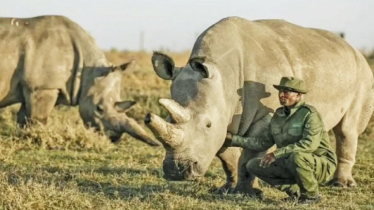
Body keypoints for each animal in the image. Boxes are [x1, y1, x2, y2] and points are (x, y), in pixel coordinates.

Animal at [0, 15, 159, 146]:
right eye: (99, 108)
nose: (114, 137)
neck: (87, 70)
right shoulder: (44, 86)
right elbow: (38, 117)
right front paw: (35, 138)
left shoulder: (34, 86)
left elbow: (24, 116)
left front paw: (23, 137)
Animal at [145, 16, 374, 194]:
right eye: (165, 118)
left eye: (207, 124)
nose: (176, 172)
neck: (223, 75)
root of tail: (353, 49)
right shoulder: (223, 116)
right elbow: (226, 154)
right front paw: (227, 189)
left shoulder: (264, 115)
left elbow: (249, 156)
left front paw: (246, 192)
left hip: (363, 73)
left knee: (347, 130)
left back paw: (341, 185)